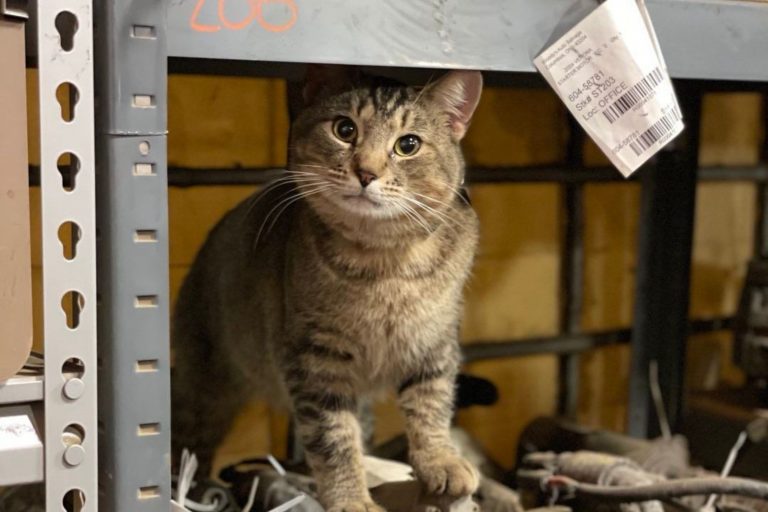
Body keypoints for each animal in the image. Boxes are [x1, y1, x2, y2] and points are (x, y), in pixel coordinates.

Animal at [174, 68, 484, 512]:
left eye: (408, 144)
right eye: (344, 129)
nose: (366, 172)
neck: (384, 267)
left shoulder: (434, 342)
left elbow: (431, 406)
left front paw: (440, 461)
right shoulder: (316, 360)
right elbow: (334, 438)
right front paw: (351, 499)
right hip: (206, 383)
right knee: (189, 439)